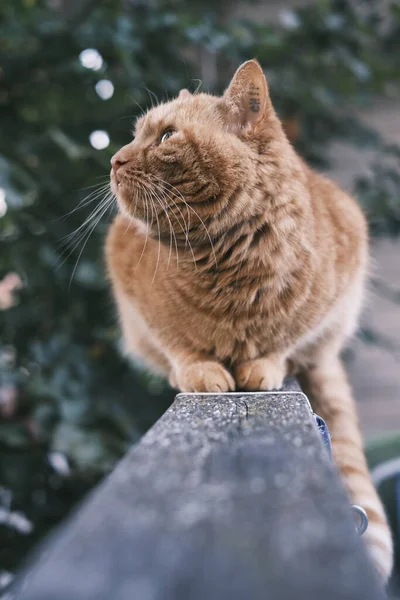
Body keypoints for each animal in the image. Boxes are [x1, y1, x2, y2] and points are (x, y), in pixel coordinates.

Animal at [104, 61, 392, 580]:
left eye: (166, 136)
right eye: (136, 135)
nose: (114, 160)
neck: (224, 261)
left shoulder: (332, 295)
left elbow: (284, 339)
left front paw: (262, 365)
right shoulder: (136, 301)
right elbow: (178, 345)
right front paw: (201, 370)